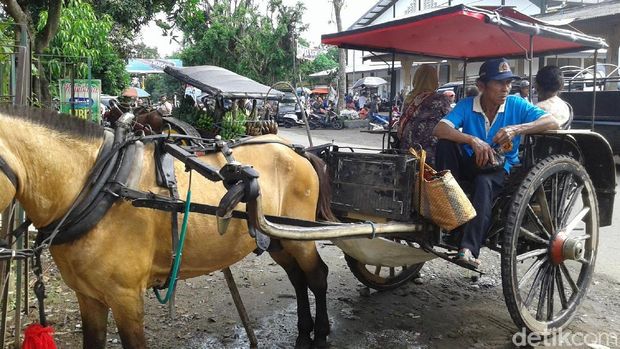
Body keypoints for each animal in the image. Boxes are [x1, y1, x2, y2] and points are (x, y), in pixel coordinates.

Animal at [0, 106, 334, 348]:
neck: (99, 185)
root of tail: (295, 150)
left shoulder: (125, 297)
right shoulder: (89, 296)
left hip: (300, 236)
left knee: (316, 275)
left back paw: (320, 334)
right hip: (276, 237)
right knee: (298, 278)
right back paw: (303, 332)